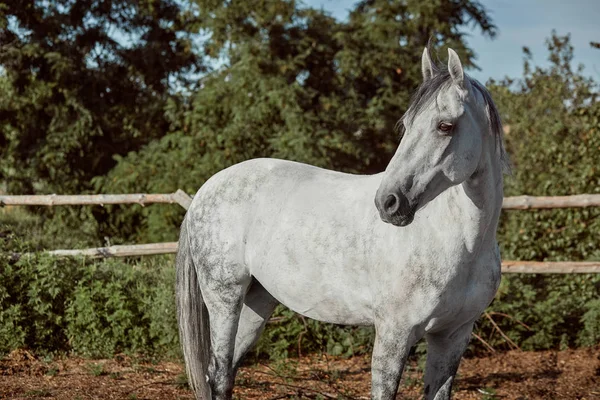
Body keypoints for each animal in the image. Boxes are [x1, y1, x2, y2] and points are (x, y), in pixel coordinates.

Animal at [176, 47, 508, 400]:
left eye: (445, 126)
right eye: (406, 125)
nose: (388, 202)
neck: (458, 242)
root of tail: (205, 190)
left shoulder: (453, 336)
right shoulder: (394, 334)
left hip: (257, 302)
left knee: (225, 373)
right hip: (224, 299)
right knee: (218, 374)